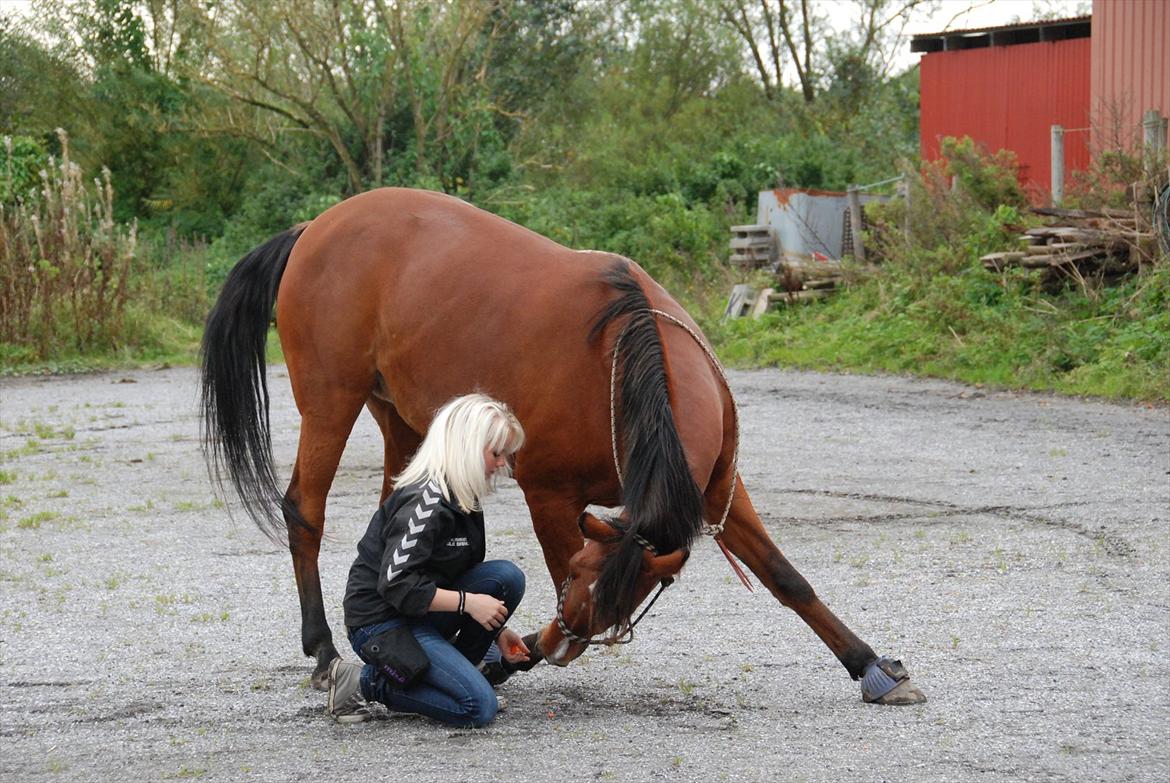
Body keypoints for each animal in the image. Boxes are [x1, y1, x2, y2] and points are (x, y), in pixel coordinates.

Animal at [203, 187, 931, 702]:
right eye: (586, 577)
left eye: (628, 599)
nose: (557, 641)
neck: (624, 362)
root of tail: (312, 229)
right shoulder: (550, 496)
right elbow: (550, 578)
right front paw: (520, 650)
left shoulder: (720, 492)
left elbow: (787, 578)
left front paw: (871, 665)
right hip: (331, 401)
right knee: (305, 511)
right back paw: (326, 652)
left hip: (399, 417)